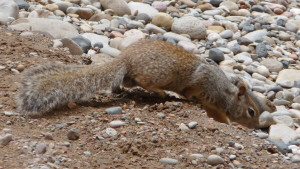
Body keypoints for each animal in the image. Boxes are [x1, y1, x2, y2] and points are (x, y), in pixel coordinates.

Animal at [15, 39, 274, 128]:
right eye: (251, 111)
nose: (256, 127)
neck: (225, 94)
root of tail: (124, 58)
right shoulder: (204, 83)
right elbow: (193, 91)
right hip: (159, 72)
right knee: (144, 81)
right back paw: (162, 93)